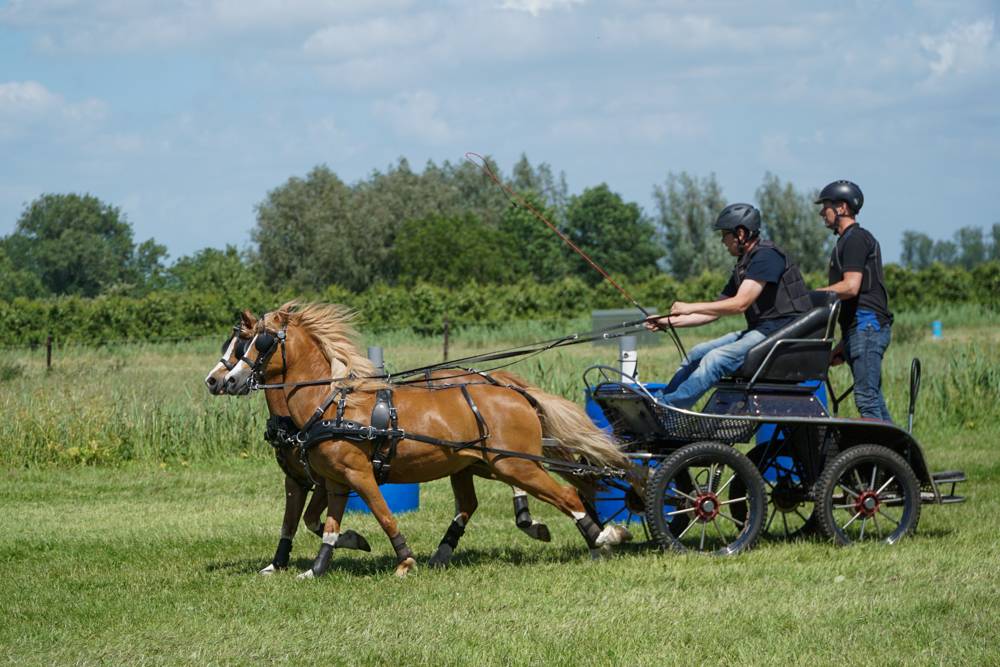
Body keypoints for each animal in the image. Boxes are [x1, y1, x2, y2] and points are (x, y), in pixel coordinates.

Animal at [223, 302, 634, 578]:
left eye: (259, 342)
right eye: (239, 343)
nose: (224, 380)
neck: (333, 402)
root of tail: (514, 391)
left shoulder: (359, 474)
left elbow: (383, 514)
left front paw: (404, 560)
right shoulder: (336, 480)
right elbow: (327, 525)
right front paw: (319, 566)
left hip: (515, 464)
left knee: (568, 496)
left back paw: (602, 538)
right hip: (479, 464)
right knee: (472, 503)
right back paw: (445, 554)